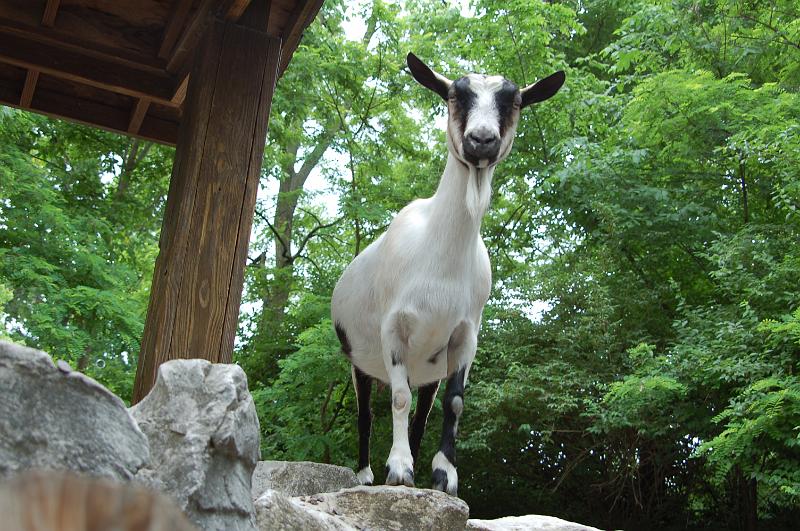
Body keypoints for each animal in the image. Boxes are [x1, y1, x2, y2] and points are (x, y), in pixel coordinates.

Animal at [331, 53, 564, 496]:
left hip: (428, 367)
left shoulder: (464, 335)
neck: (437, 261)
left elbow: (454, 403)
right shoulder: (393, 328)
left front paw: (443, 476)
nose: (481, 140)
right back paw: (366, 474)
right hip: (359, 359)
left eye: (515, 102)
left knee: (421, 412)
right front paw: (398, 469)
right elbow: (398, 398)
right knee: (367, 410)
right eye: (455, 96)